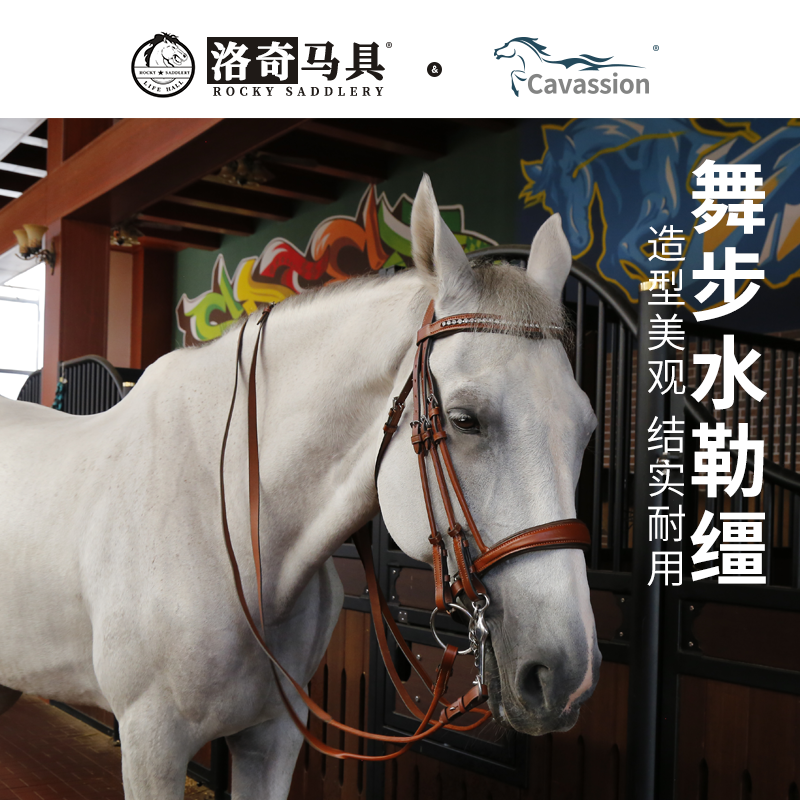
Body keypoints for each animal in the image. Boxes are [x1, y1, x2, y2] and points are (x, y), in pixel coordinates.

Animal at [0, 176, 600, 800]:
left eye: (587, 429)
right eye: (464, 419)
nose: (567, 675)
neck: (232, 535)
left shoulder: (272, 739)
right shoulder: (151, 746)